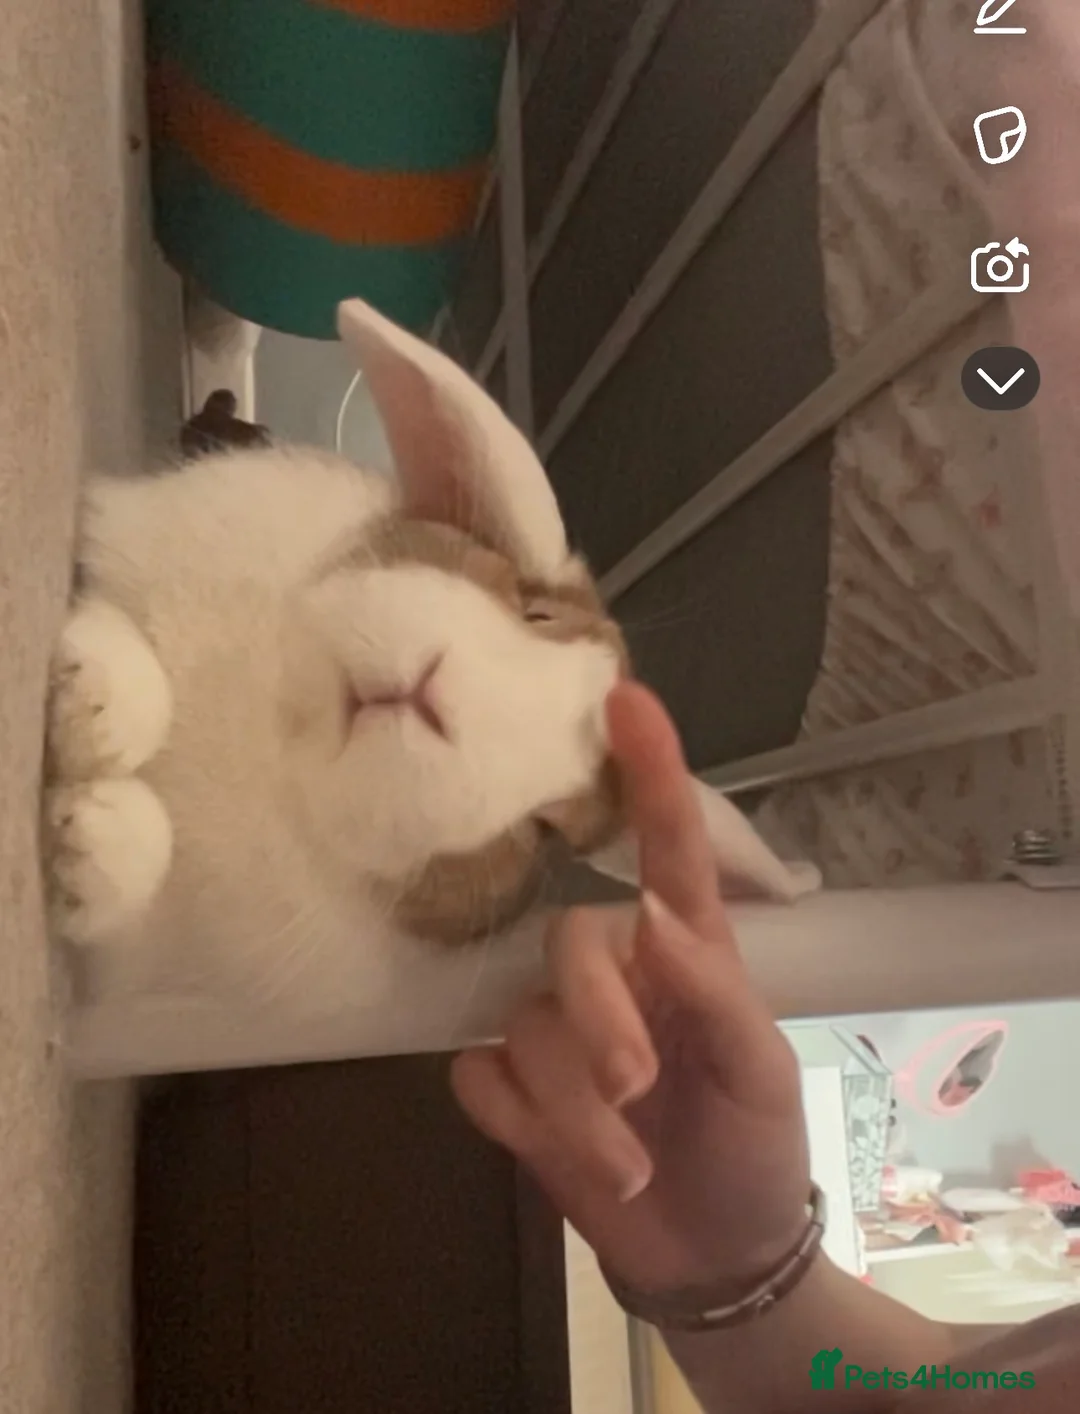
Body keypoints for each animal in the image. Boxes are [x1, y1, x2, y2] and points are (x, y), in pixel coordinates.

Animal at [42, 298, 820, 1021]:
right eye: (534, 612)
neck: (277, 731)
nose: (437, 697)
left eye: (550, 826)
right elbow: (143, 675)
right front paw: (91, 693)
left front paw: (86, 840)